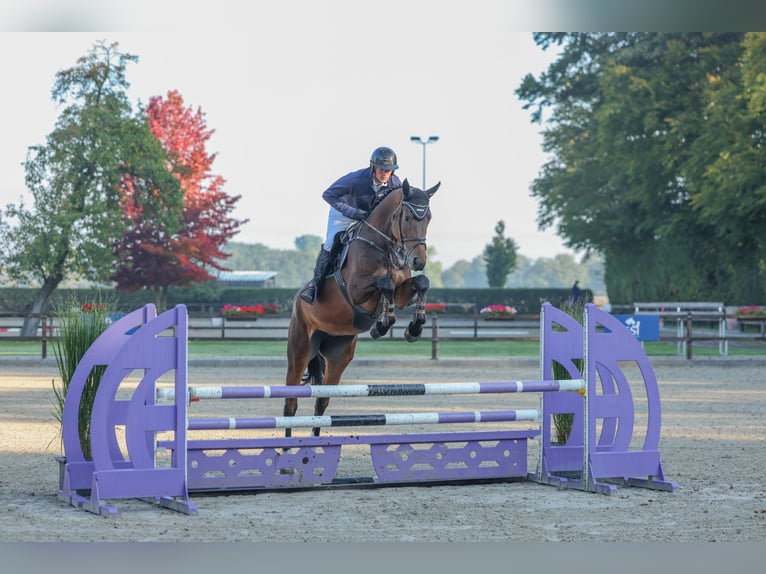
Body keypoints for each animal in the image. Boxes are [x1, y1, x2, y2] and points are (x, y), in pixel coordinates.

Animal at [284, 179, 440, 437]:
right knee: (290, 404)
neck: (384, 246)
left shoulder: (402, 294)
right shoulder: (357, 291)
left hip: (339, 354)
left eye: (428, 218)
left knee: (321, 401)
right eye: (407, 218)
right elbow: (385, 284)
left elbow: (421, 282)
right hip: (300, 349)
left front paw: (414, 328)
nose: (418, 261)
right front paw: (382, 325)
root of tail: (298, 301)